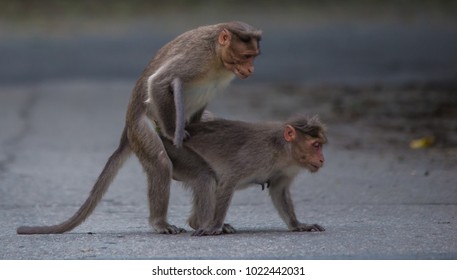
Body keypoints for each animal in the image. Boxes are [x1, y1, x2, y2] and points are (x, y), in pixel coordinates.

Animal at [16, 21, 260, 235]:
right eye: (246, 56)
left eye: (253, 56)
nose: (250, 69)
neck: (217, 57)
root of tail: (127, 131)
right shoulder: (197, 58)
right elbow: (159, 83)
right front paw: (174, 133)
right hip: (141, 129)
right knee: (161, 162)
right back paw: (160, 223)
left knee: (203, 172)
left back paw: (200, 222)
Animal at [161, 115, 328, 235]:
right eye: (316, 145)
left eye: (320, 145)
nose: (322, 159)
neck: (281, 151)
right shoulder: (255, 156)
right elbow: (228, 181)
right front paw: (213, 226)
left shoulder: (288, 169)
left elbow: (278, 190)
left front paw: (298, 225)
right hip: (176, 151)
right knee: (205, 177)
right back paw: (200, 223)